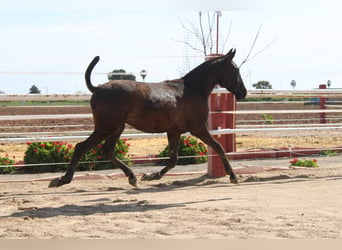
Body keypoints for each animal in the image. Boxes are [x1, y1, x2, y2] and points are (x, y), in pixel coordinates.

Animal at [48, 49, 246, 188]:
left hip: (117, 127)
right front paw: (233, 176)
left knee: (108, 150)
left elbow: (173, 159)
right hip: (106, 127)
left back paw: (132, 177)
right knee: (82, 147)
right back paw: (62, 179)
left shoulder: (174, 131)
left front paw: (151, 176)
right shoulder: (198, 128)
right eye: (235, 69)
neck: (192, 89)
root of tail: (97, 88)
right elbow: (218, 147)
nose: (243, 92)